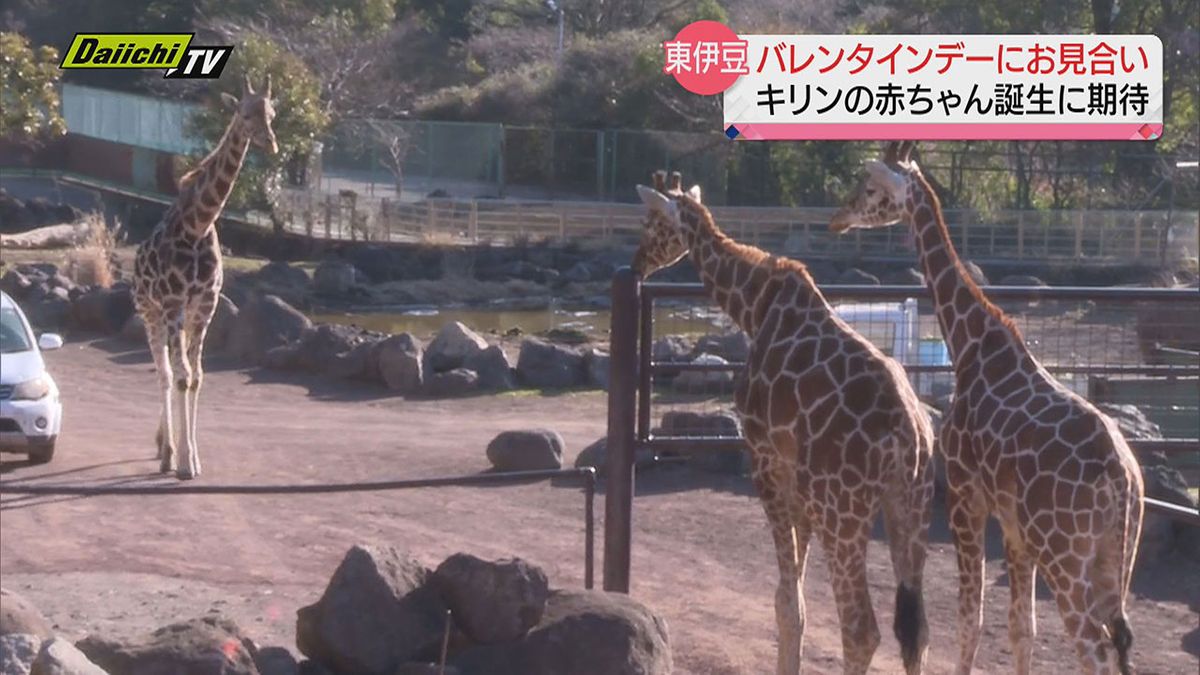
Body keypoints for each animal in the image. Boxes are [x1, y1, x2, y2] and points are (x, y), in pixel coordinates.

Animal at [133, 74, 278, 478]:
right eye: (244, 114)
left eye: (272, 114)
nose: (272, 143)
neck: (197, 225)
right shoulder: (171, 301)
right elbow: (182, 375)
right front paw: (183, 462)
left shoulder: (205, 301)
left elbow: (197, 376)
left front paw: (194, 457)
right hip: (149, 311)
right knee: (164, 372)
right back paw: (165, 451)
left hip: (177, 315)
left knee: (173, 367)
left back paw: (162, 445)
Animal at [638, 169, 936, 672]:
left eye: (650, 223)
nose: (637, 263)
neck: (753, 304)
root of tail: (909, 436)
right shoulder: (799, 484)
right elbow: (795, 598)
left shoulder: (766, 460)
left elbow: (785, 601)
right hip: (908, 507)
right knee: (914, 631)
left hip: (844, 512)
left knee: (862, 629)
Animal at [830, 141, 1147, 672]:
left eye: (870, 187)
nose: (837, 217)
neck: (970, 343)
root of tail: (1122, 479)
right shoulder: (1015, 528)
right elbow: (1022, 630)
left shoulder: (965, 496)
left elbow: (970, 619)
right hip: (1117, 557)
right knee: (1121, 641)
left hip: (1065, 556)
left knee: (1094, 649)